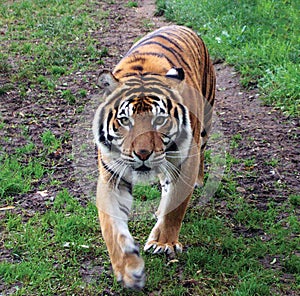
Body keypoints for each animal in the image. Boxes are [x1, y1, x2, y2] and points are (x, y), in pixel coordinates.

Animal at [92, 25, 216, 290]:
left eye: (159, 120)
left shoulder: (185, 163)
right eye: (125, 120)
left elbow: (175, 209)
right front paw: (127, 270)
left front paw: (163, 243)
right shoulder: (111, 177)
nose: (143, 153)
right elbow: (111, 227)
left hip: (205, 121)